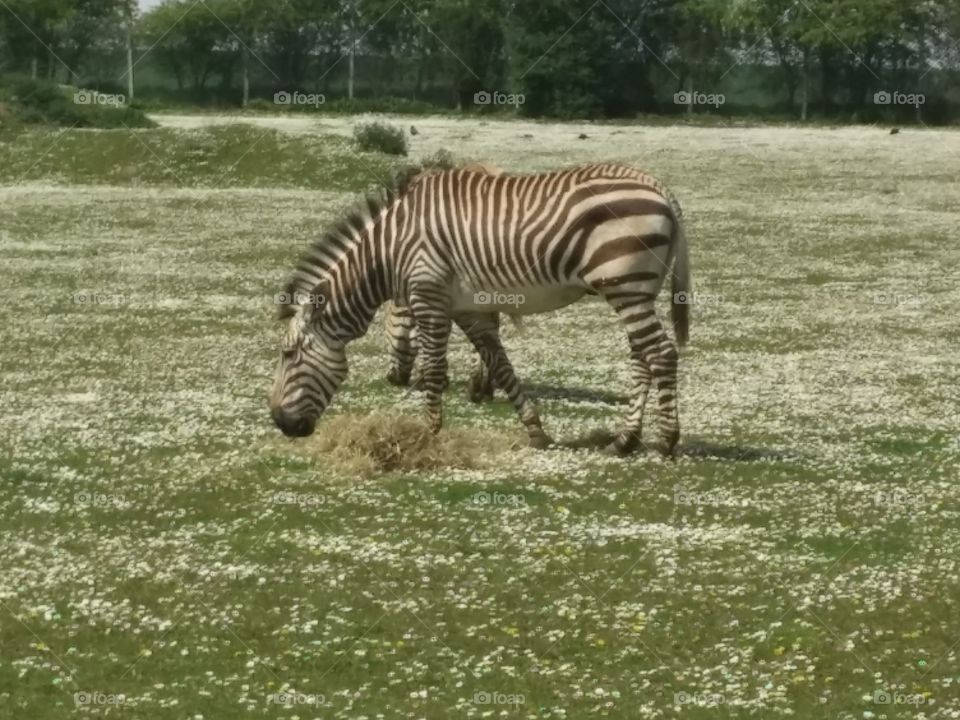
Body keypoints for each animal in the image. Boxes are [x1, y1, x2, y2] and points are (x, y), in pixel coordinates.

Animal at [270, 163, 690, 457]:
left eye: (289, 354)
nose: (280, 423)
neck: (388, 250)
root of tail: (660, 188)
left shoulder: (428, 297)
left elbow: (434, 370)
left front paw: (428, 435)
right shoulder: (467, 310)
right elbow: (502, 366)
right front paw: (535, 431)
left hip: (625, 287)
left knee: (662, 354)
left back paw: (666, 441)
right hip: (636, 291)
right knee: (642, 357)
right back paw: (625, 441)